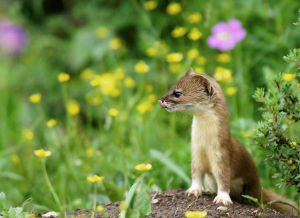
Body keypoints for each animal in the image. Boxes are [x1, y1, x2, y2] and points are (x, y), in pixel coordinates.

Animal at [159, 69, 298, 215]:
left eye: (177, 93)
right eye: (171, 87)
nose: (161, 100)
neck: (205, 143)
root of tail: (258, 184)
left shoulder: (222, 153)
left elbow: (223, 177)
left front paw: (222, 198)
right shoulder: (195, 152)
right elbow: (196, 173)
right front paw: (193, 190)